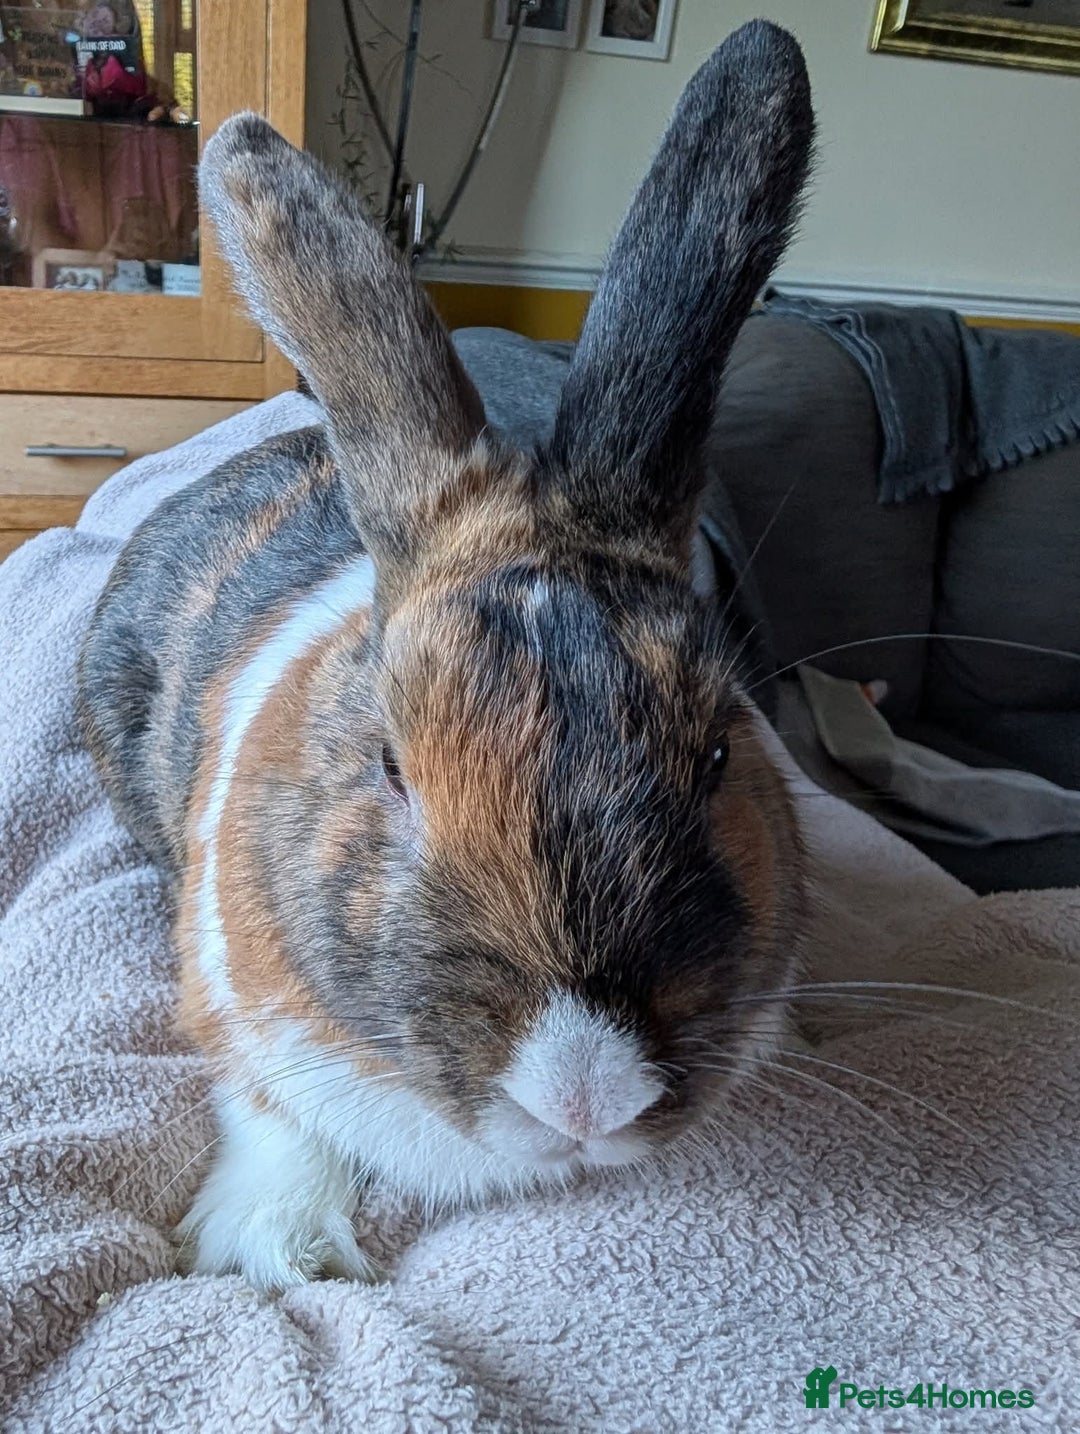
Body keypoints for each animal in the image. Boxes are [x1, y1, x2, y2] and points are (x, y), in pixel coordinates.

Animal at [78, 18, 814, 1291]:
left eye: (722, 756)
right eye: (391, 768)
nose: (584, 1095)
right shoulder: (231, 998)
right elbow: (274, 1114)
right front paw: (281, 1250)